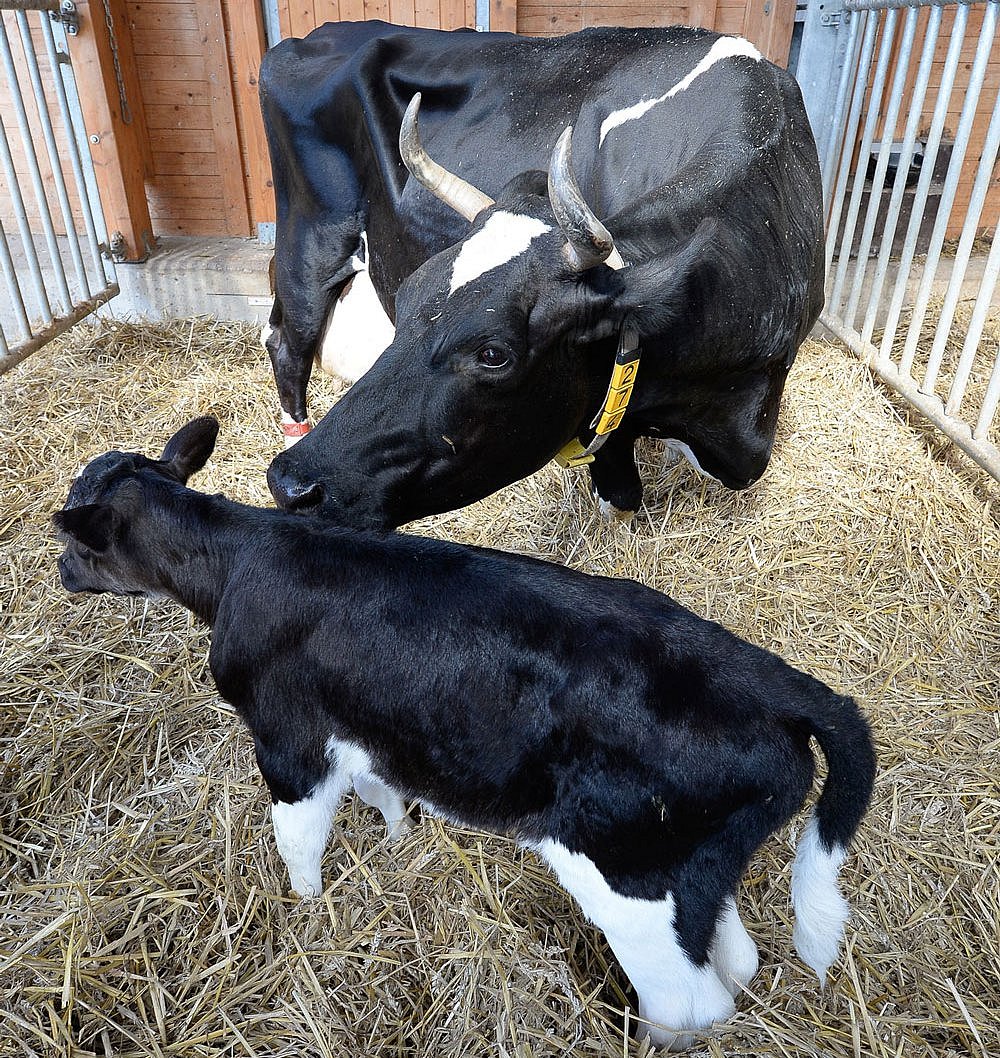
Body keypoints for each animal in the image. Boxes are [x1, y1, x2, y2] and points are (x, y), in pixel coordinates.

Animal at [54, 418, 871, 1049]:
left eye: (80, 542)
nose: (61, 573)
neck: (238, 559)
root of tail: (769, 680)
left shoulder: (289, 741)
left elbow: (299, 841)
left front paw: (307, 912)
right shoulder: (371, 724)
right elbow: (383, 791)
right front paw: (395, 849)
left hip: (625, 867)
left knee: (691, 1000)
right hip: (693, 868)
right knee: (735, 959)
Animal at [261, 22, 825, 537]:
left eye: (493, 354)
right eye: (404, 297)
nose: (291, 485)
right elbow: (622, 495)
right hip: (308, 241)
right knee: (288, 349)